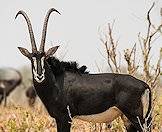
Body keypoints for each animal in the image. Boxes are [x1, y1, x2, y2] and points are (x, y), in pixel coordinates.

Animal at [15, 8, 152, 132]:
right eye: (31, 58)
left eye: (45, 58)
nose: (39, 76)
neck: (56, 82)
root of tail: (144, 85)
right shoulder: (58, 119)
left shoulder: (65, 118)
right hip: (127, 119)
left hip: (136, 116)